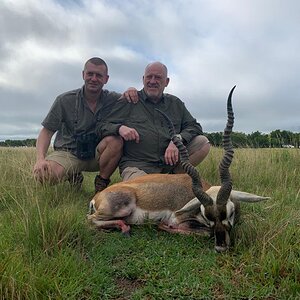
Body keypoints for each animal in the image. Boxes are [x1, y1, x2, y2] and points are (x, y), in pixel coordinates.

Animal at [87, 86, 270, 251]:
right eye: (207, 216)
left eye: (230, 213)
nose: (221, 247)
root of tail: (97, 197)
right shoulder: (178, 218)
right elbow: (205, 232)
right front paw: (164, 226)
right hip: (122, 208)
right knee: (90, 219)